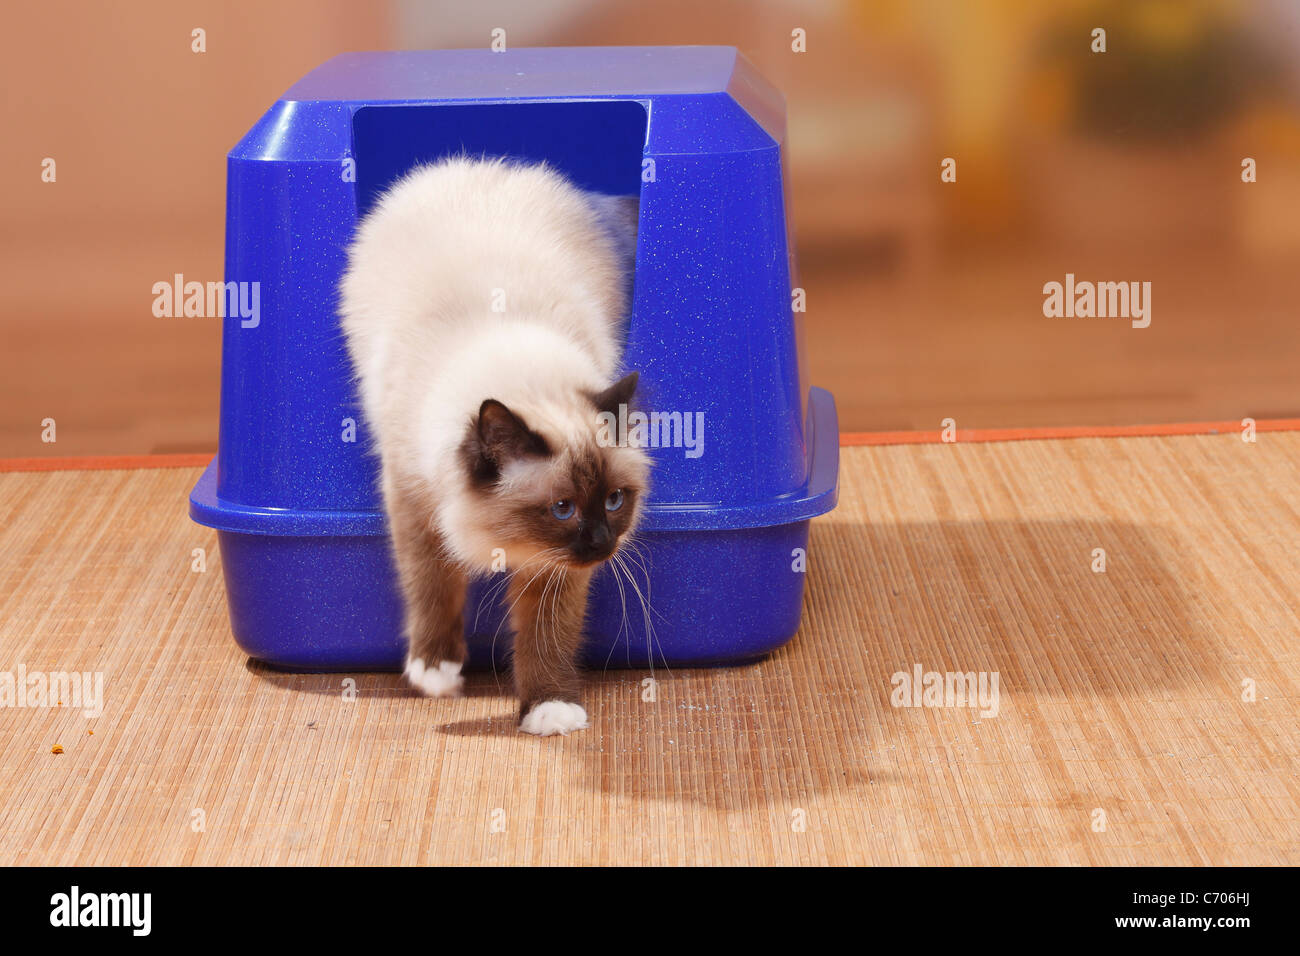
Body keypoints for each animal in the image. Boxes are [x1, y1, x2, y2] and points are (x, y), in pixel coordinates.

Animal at [338, 158, 650, 738]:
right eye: (563, 508)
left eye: (615, 500)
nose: (602, 545)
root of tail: (480, 163)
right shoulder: (414, 502)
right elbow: (431, 584)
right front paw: (436, 671)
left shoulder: (555, 568)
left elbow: (546, 636)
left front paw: (549, 709)